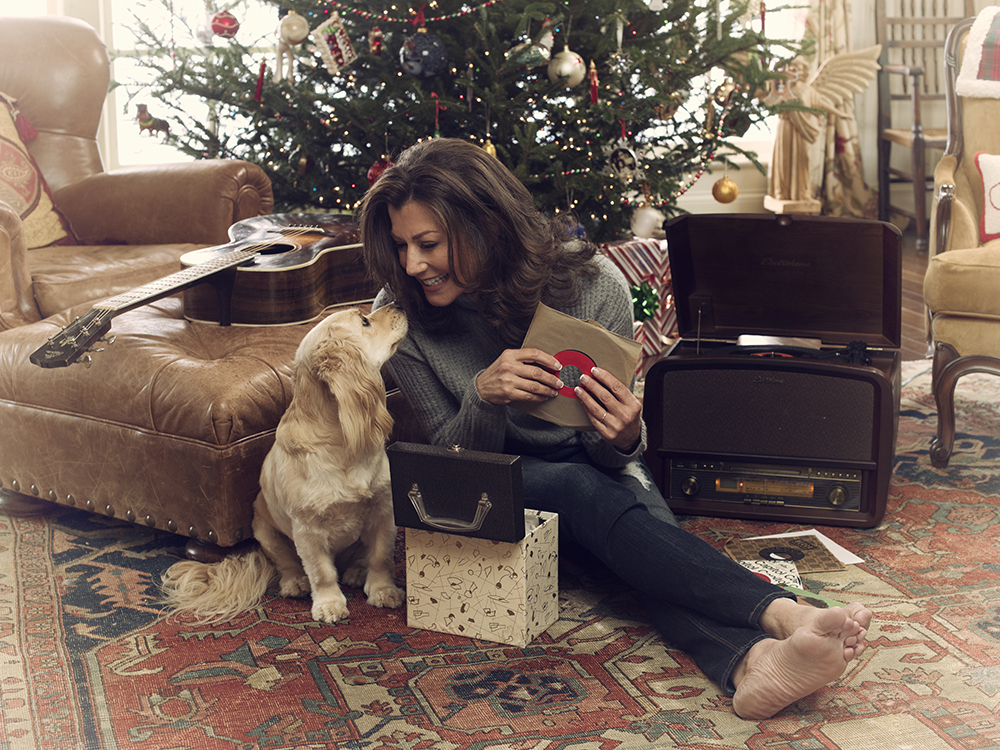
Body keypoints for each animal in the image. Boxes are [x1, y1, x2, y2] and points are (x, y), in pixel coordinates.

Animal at [164, 302, 410, 624]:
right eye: (365, 322)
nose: (399, 303)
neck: (342, 441)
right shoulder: (307, 530)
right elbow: (321, 572)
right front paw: (329, 604)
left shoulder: (383, 509)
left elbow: (380, 557)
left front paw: (383, 592)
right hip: (264, 530)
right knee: (288, 564)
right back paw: (295, 583)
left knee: (359, 556)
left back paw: (357, 572)